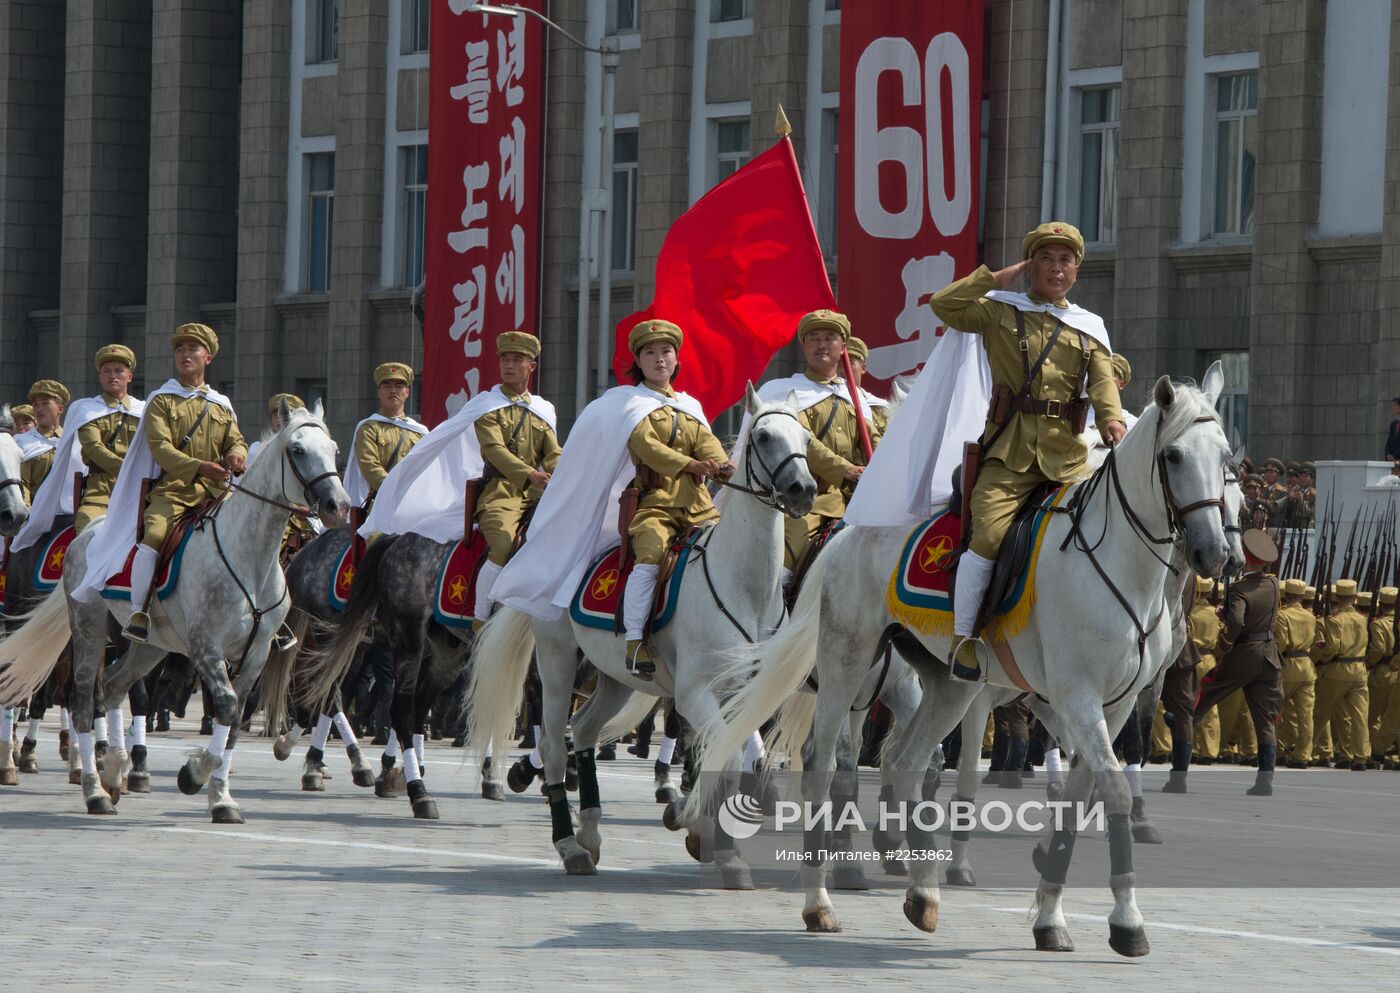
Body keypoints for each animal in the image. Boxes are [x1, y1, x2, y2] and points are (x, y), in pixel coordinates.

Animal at [0, 397, 347, 817]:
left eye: (334, 449)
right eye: (297, 450)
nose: (337, 506)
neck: (251, 559)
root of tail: (88, 531)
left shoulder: (257, 653)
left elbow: (234, 720)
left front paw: (221, 797)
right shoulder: (205, 647)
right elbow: (226, 706)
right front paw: (193, 775)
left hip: (150, 645)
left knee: (114, 685)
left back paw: (114, 770)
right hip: (88, 626)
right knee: (82, 697)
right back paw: (94, 788)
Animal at [464, 386, 823, 873]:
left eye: (805, 437)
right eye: (764, 436)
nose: (803, 490)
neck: (744, 587)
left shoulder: (744, 692)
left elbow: (747, 760)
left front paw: (708, 833)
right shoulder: (694, 694)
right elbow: (727, 758)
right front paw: (703, 832)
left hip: (615, 677)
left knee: (585, 730)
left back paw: (591, 830)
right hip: (557, 664)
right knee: (557, 744)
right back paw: (569, 843)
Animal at [683, 369, 1232, 952]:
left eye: (1225, 457)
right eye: (1173, 455)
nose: (1215, 553)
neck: (1116, 564)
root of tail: (849, 531)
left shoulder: (1116, 703)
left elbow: (1079, 800)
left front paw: (1050, 916)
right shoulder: (1077, 698)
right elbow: (1113, 793)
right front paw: (1127, 921)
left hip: (948, 683)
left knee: (906, 762)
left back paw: (921, 896)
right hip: (847, 666)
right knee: (823, 764)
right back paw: (819, 901)